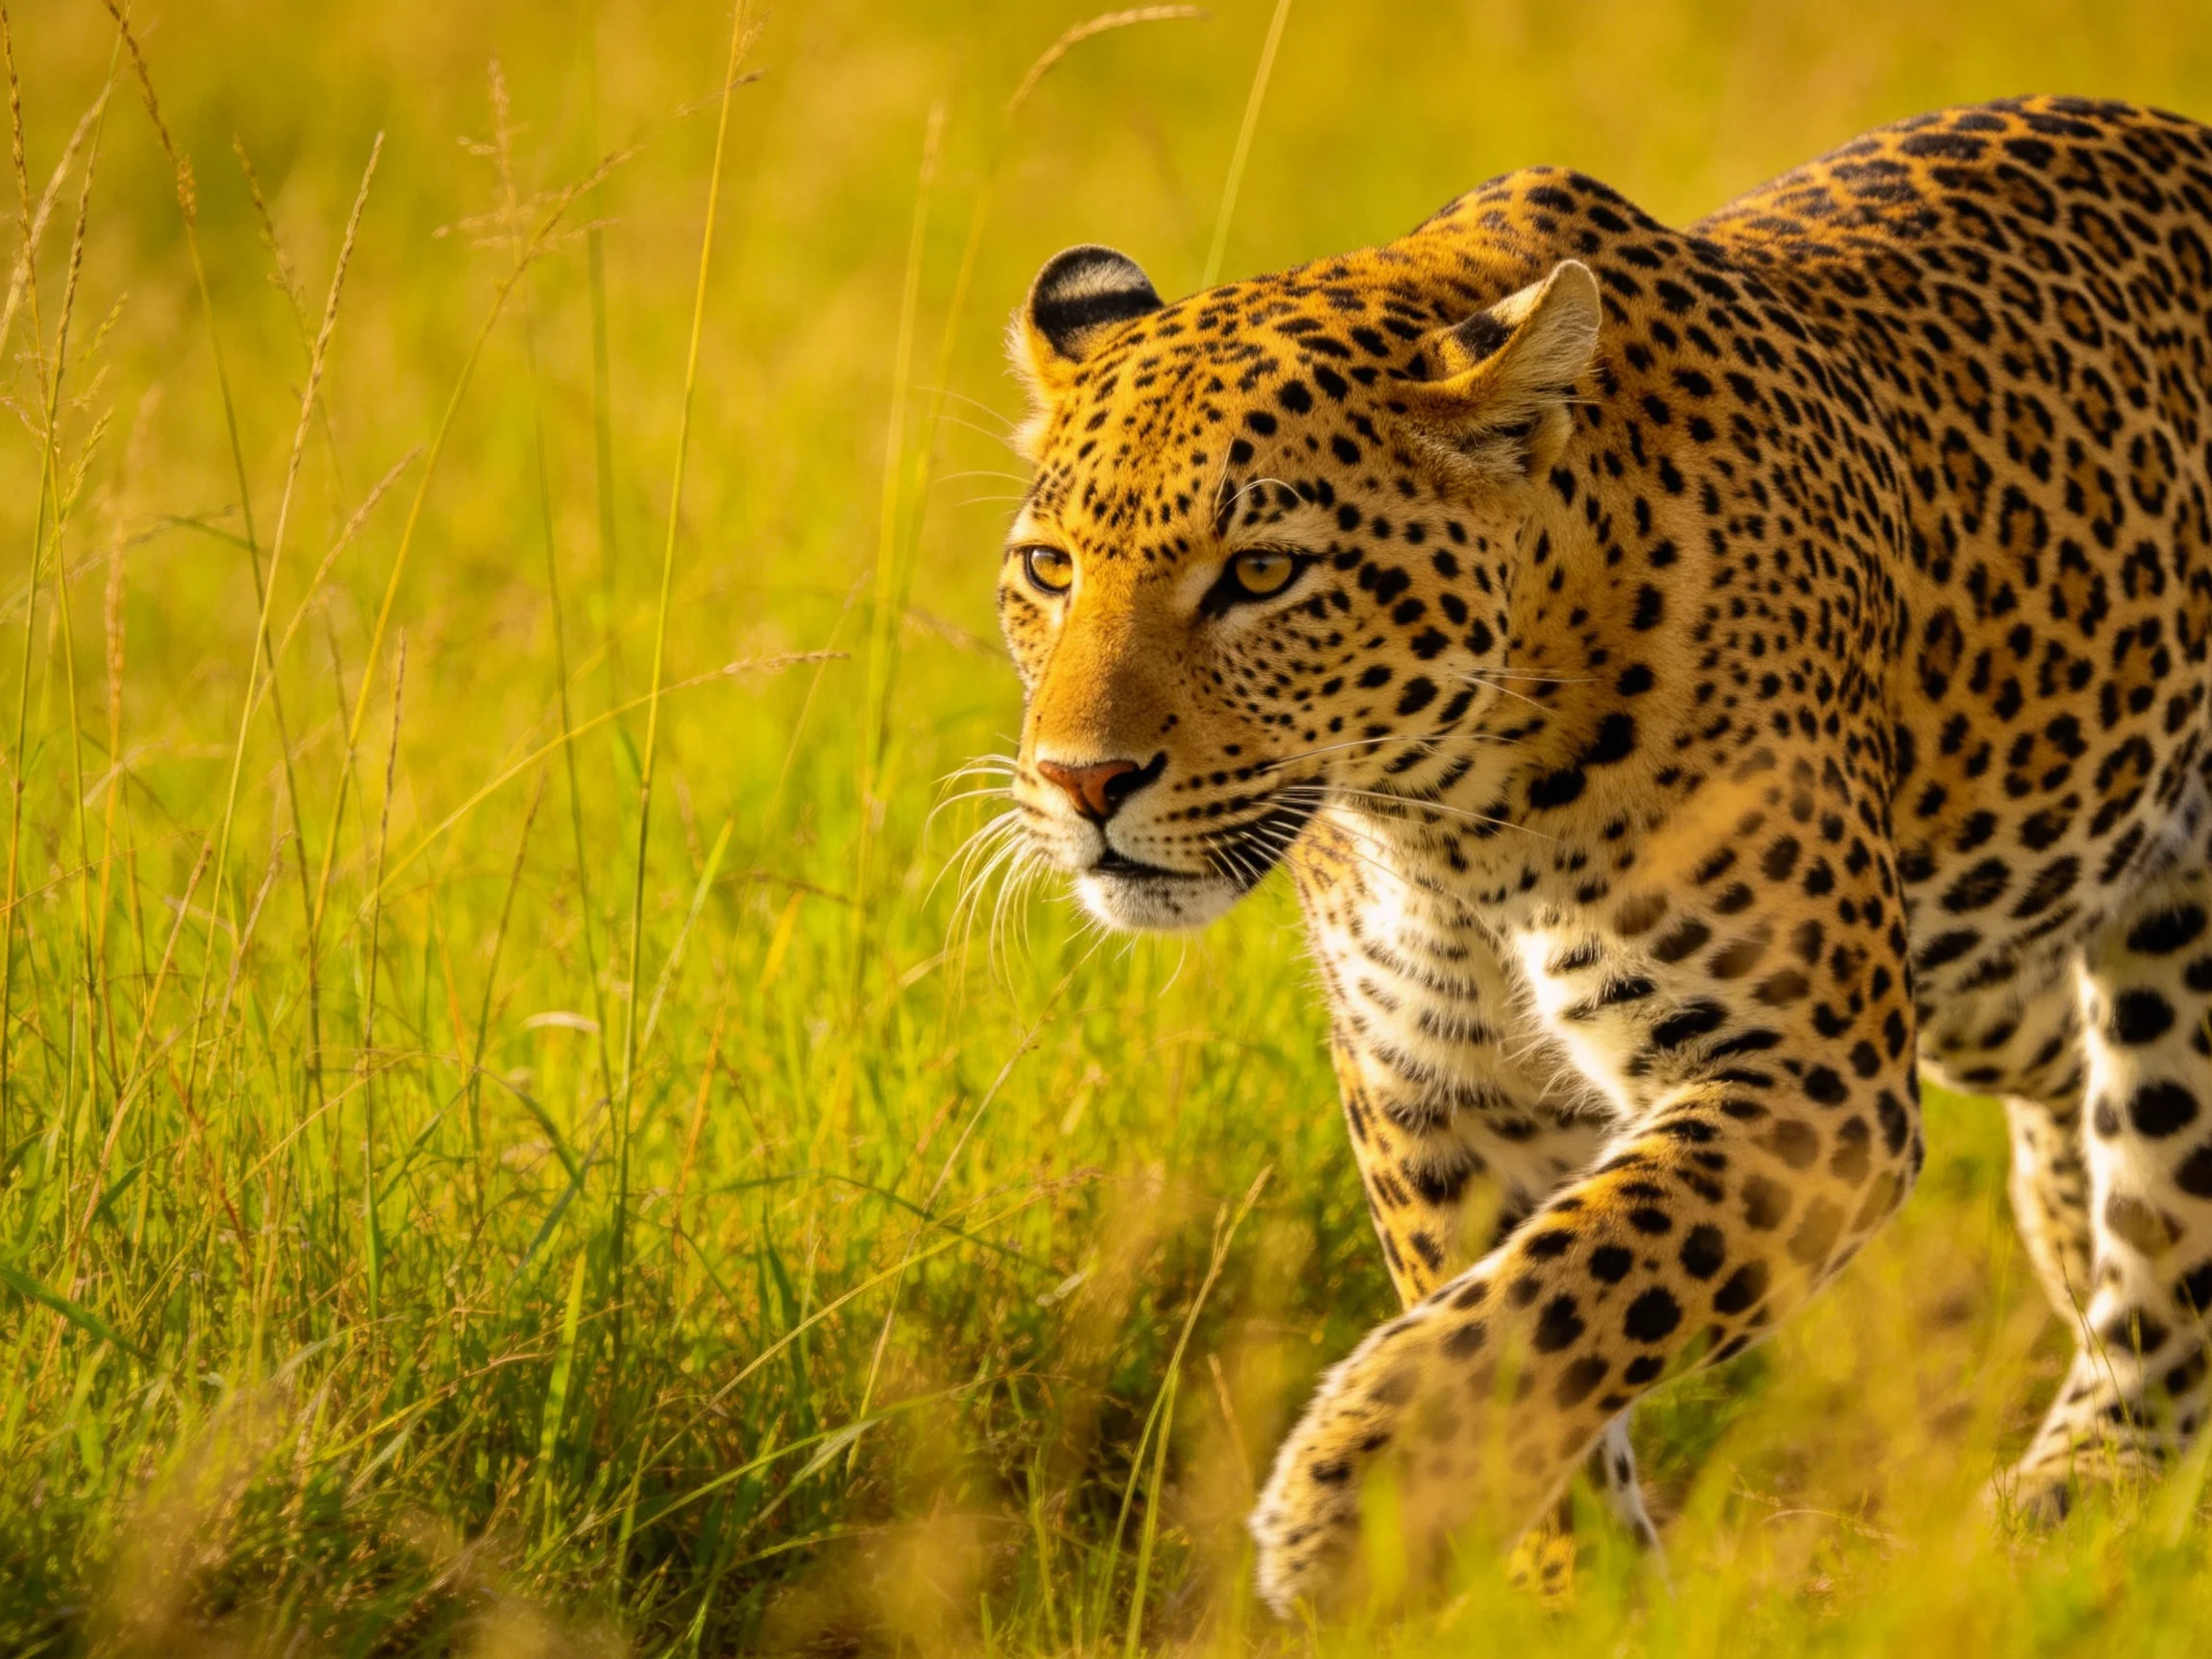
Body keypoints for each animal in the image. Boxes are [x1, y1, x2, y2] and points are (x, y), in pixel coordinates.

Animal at [992, 96, 2212, 1616]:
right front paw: (1579, 1597)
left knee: (2172, 1228)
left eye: (1263, 573)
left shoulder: (1805, 1081)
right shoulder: (1439, 1092)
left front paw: (1351, 1497)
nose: (1078, 779)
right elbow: (1518, 1318)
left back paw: (2076, 1492)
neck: (1446, 822)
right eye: (1048, 570)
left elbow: (1571, 1290)